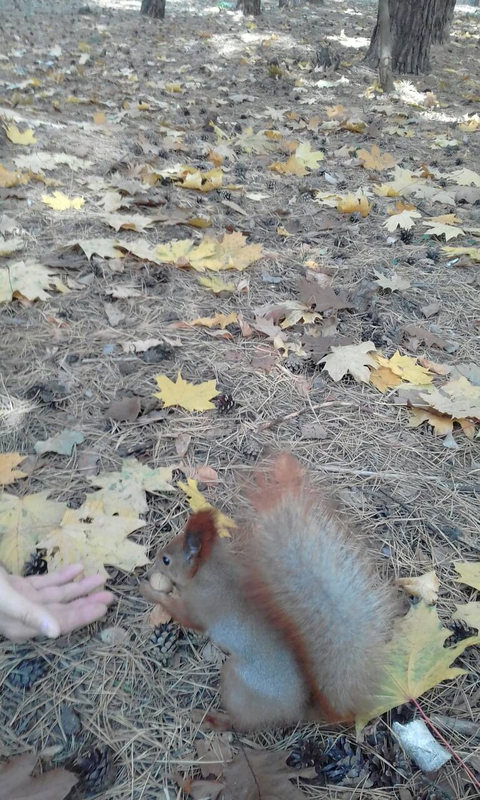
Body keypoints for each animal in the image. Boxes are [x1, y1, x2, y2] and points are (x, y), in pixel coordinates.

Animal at [141, 453, 398, 730]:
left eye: (166, 560)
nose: (152, 565)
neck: (211, 570)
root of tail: (297, 711)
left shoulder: (200, 606)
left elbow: (183, 614)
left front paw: (150, 592)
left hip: (236, 681)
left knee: (239, 723)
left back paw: (209, 717)